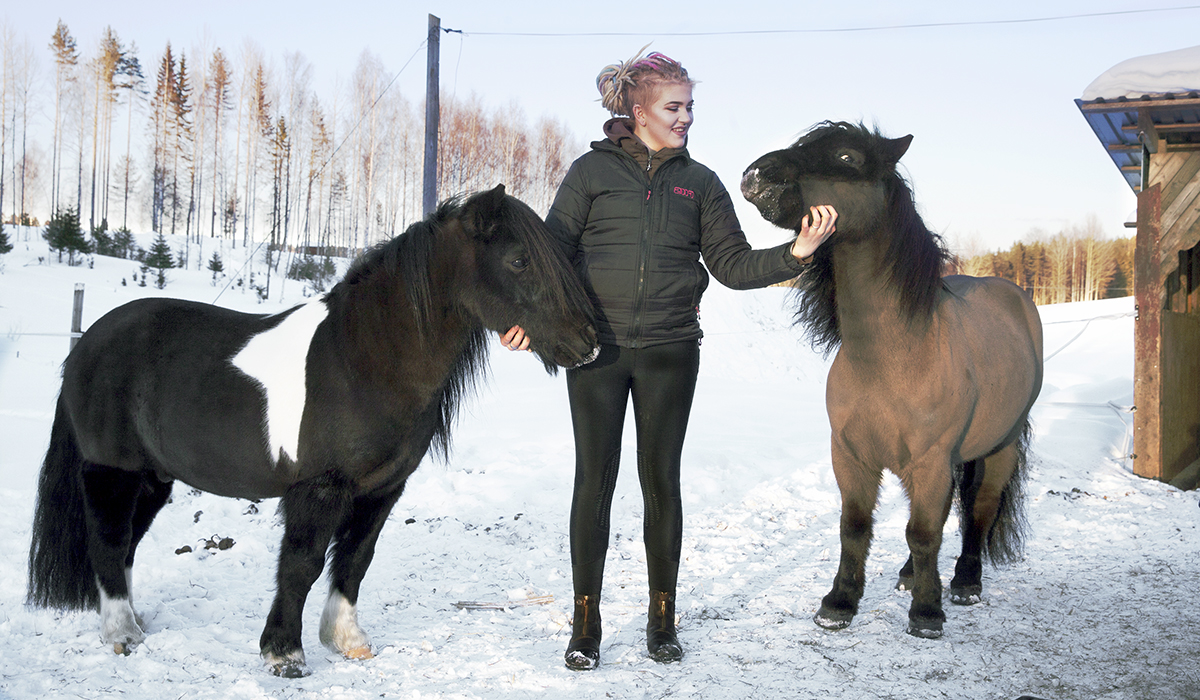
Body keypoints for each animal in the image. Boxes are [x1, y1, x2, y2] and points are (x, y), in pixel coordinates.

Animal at [30, 186, 600, 677]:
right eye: (519, 261)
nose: (589, 343)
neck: (362, 359)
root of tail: (87, 342)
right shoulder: (319, 488)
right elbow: (302, 564)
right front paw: (284, 653)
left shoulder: (382, 489)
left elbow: (354, 560)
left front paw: (346, 640)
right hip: (112, 472)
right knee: (107, 542)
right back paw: (121, 634)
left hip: (153, 478)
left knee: (125, 544)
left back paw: (133, 622)